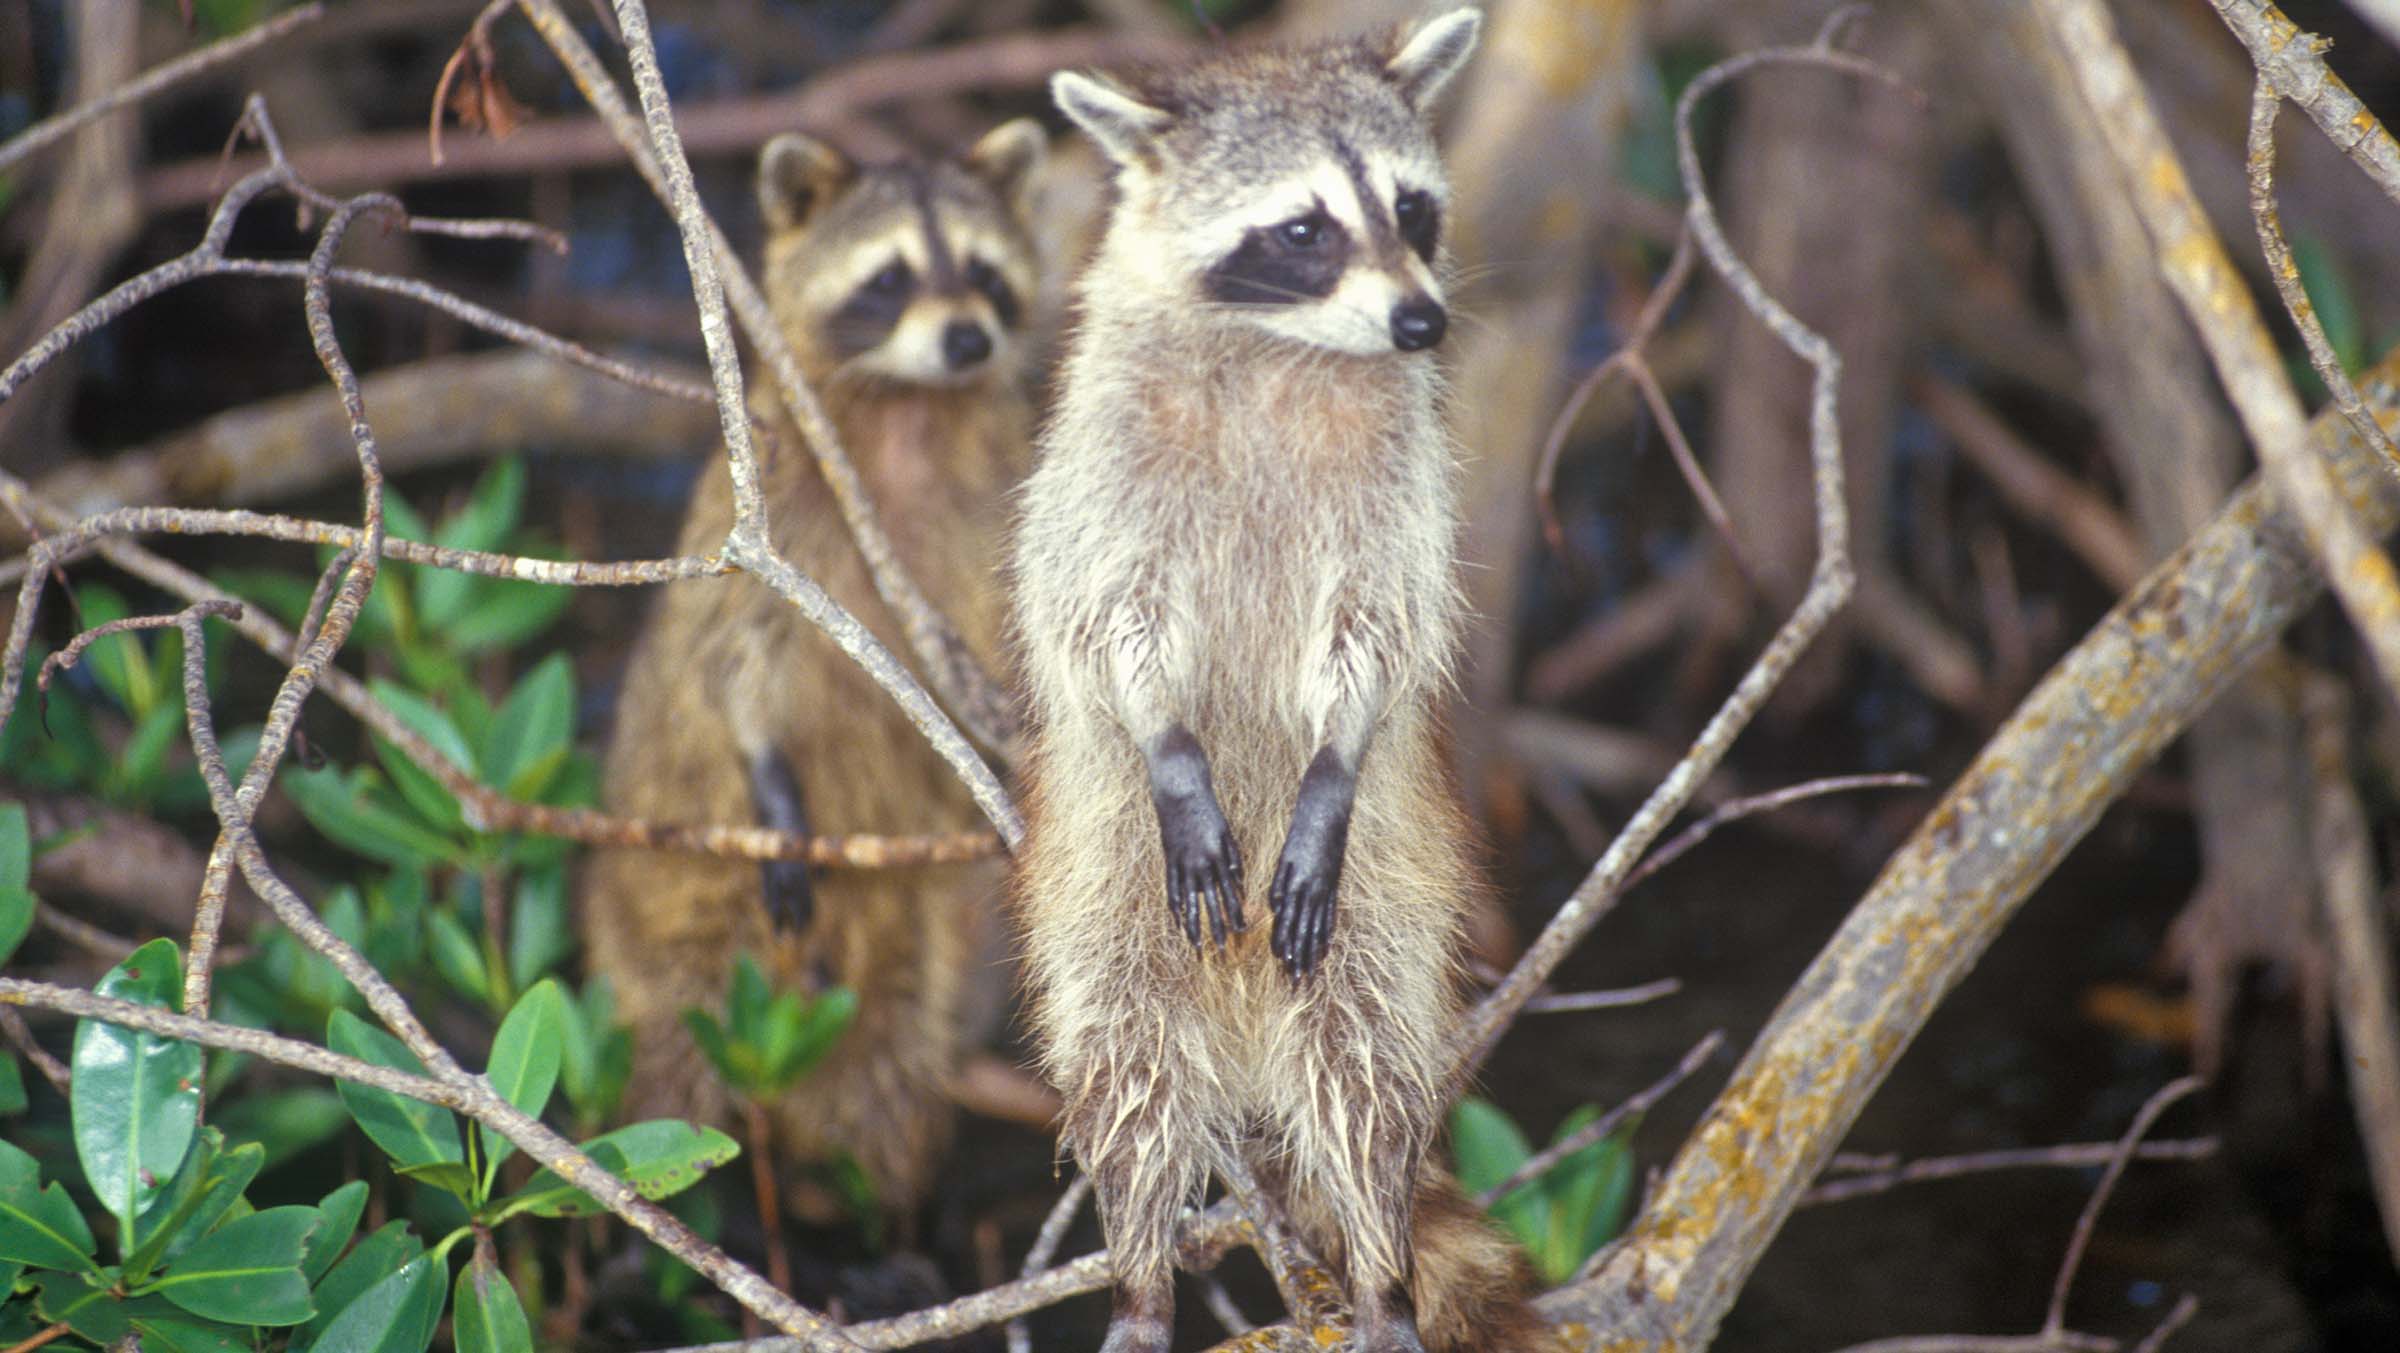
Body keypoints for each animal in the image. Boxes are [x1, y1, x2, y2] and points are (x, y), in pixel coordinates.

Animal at [580, 118, 1045, 1222]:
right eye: (890, 278)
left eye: (984, 273)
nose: (968, 340)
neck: (911, 413)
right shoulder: (762, 508)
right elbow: (734, 661)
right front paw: (772, 778)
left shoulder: (999, 506)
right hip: (664, 910)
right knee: (667, 1067)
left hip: (915, 945)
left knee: (886, 1079)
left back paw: (867, 1209)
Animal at [1009, 12, 1547, 1352]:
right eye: (1303, 230)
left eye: (1410, 208)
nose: (1422, 324)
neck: (1281, 344)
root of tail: (1244, 1006)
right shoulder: (1101, 456)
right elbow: (1105, 609)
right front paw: (1171, 745)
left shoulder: (1402, 480)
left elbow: (1383, 623)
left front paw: (1334, 755)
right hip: (1106, 888)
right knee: (1129, 1062)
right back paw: (1142, 1275)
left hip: (1381, 898)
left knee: (1361, 1068)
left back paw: (1380, 1271)